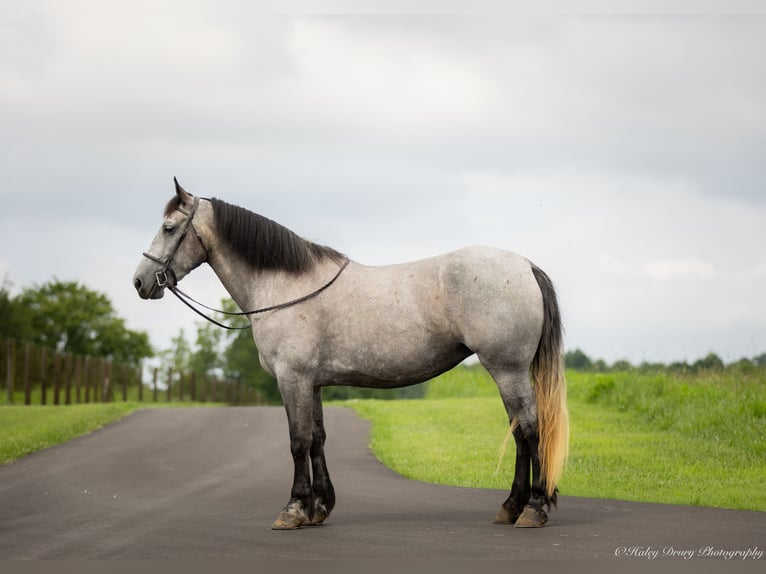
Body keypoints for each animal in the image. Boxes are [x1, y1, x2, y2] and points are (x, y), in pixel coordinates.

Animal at [135, 179, 568, 532]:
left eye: (169, 228)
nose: (140, 282)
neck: (285, 286)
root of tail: (525, 266)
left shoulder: (292, 378)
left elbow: (297, 441)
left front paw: (293, 510)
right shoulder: (312, 383)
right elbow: (317, 439)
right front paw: (319, 508)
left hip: (507, 370)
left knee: (531, 429)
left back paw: (533, 509)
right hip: (507, 372)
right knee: (520, 432)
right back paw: (511, 506)